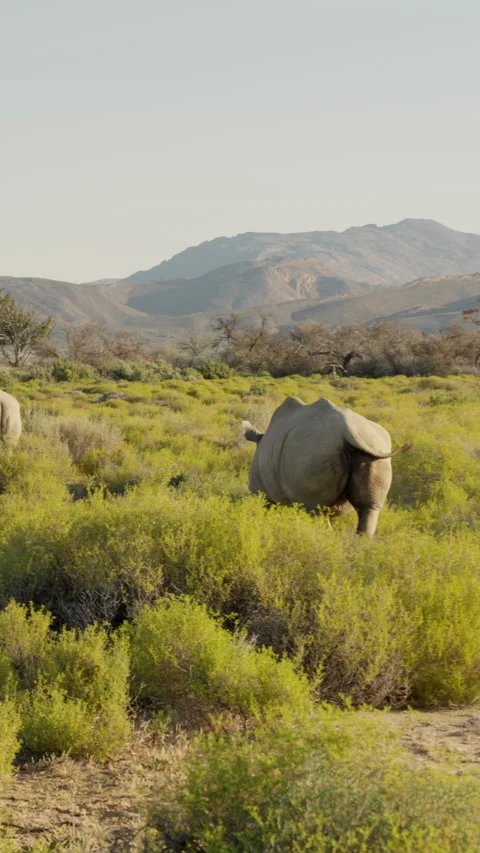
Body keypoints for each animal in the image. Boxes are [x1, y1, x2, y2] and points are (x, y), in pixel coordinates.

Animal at [243, 396, 409, 537]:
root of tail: (349, 430)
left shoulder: (262, 492)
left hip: (314, 450)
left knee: (319, 510)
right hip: (373, 444)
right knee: (369, 508)